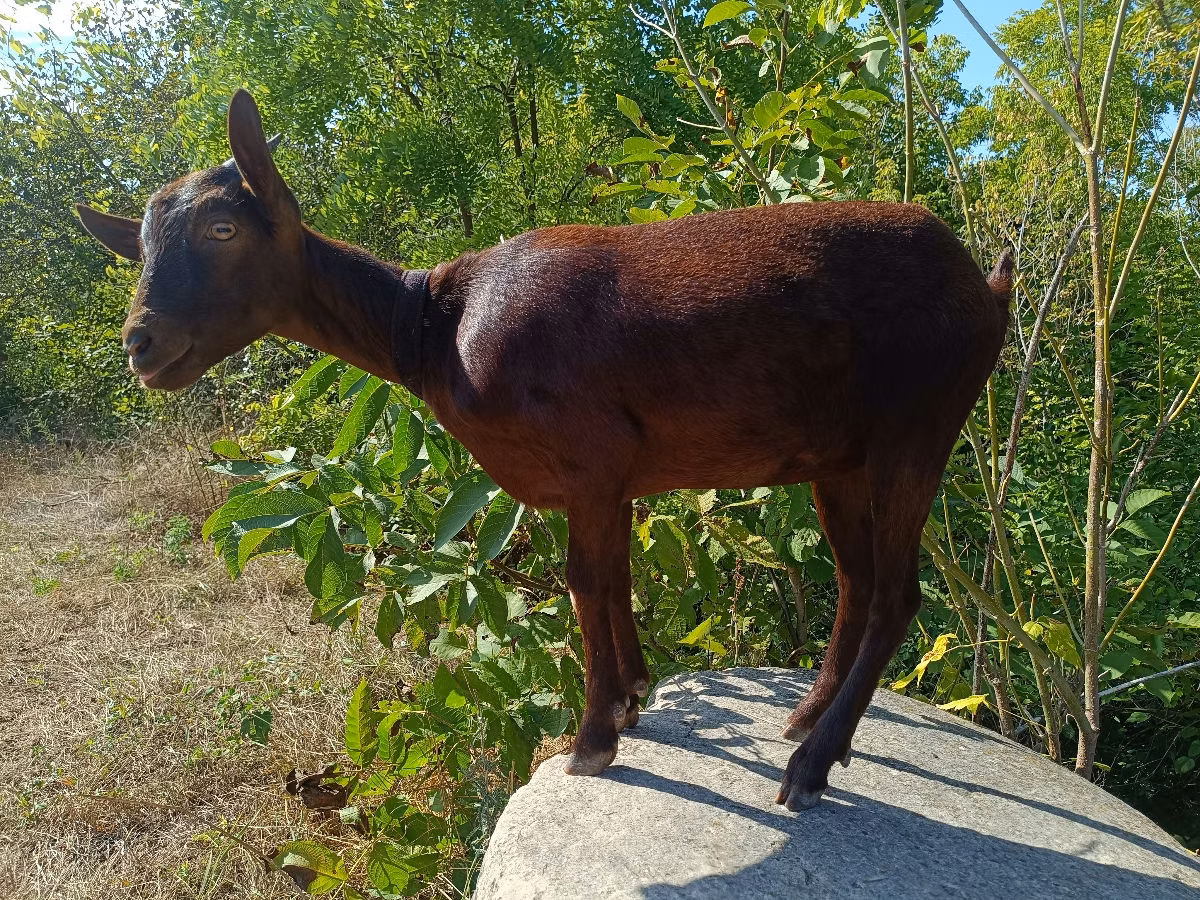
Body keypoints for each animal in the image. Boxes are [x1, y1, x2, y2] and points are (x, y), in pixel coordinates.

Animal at [77, 90, 1011, 810]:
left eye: (225, 228)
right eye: (142, 245)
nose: (141, 345)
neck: (435, 329)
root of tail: (988, 286)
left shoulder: (591, 460)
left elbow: (585, 585)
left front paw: (592, 740)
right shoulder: (614, 479)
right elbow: (616, 580)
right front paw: (631, 699)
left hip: (920, 426)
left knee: (895, 594)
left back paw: (810, 767)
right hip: (840, 456)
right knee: (856, 581)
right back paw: (814, 724)